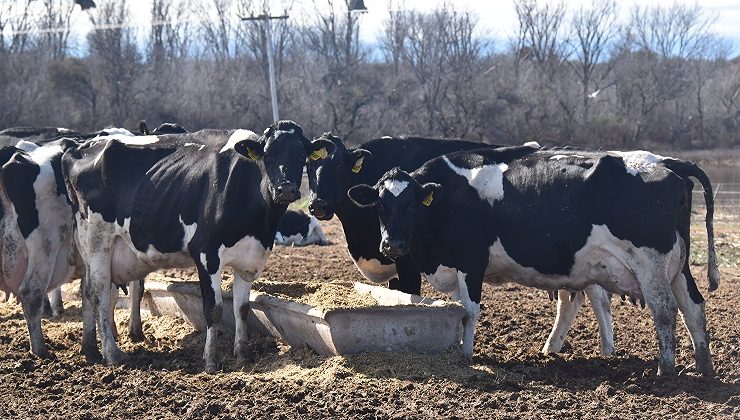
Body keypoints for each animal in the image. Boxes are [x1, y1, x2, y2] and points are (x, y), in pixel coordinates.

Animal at [60, 120, 310, 370]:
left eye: (302, 156)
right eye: (267, 155)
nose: (286, 189)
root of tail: (80, 147)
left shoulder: (249, 258)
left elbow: (242, 308)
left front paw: (243, 355)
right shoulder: (206, 252)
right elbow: (214, 309)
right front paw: (211, 361)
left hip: (90, 247)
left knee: (87, 291)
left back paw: (91, 350)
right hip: (97, 239)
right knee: (100, 293)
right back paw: (112, 354)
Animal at [350, 148, 720, 378]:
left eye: (411, 204)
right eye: (380, 205)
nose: (392, 244)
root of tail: (667, 163)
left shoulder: (471, 261)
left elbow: (470, 311)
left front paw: (466, 356)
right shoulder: (453, 267)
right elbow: (457, 311)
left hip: (650, 264)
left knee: (665, 310)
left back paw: (666, 370)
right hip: (678, 266)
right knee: (694, 306)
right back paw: (703, 367)